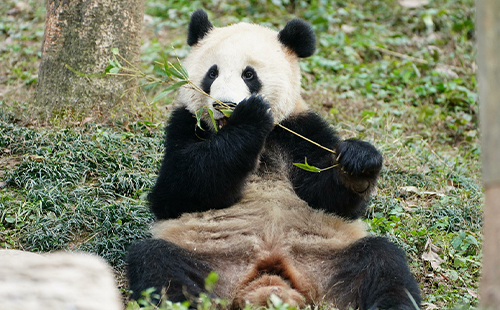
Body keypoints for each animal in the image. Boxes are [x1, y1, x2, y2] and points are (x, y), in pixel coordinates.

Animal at [127, 9, 420, 310]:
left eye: (249, 74)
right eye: (212, 72)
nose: (225, 105)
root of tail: (269, 278)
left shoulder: (299, 128)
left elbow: (329, 198)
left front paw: (357, 161)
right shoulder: (185, 124)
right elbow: (174, 192)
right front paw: (249, 118)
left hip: (326, 256)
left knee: (382, 262)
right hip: (206, 257)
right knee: (159, 264)